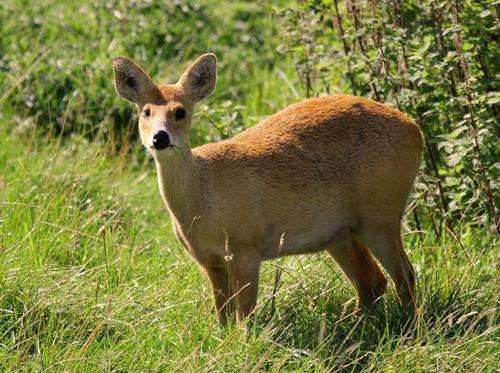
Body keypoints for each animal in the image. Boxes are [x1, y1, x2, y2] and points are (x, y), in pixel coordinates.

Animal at [112, 53, 422, 324]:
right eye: (145, 112)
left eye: (180, 111)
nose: (160, 137)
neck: (203, 200)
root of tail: (415, 128)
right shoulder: (209, 260)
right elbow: (223, 316)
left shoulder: (246, 249)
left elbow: (243, 316)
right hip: (339, 234)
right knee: (372, 281)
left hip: (380, 214)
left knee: (404, 275)